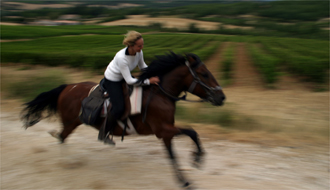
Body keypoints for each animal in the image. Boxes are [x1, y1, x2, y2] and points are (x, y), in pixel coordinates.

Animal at [20, 52, 226, 189]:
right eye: (204, 74)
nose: (222, 97)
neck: (161, 94)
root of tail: (67, 87)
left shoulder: (166, 133)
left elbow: (175, 153)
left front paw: (185, 177)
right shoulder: (163, 130)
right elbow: (192, 132)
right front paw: (197, 159)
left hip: (72, 122)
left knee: (59, 136)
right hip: (71, 122)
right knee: (61, 137)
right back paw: (67, 162)